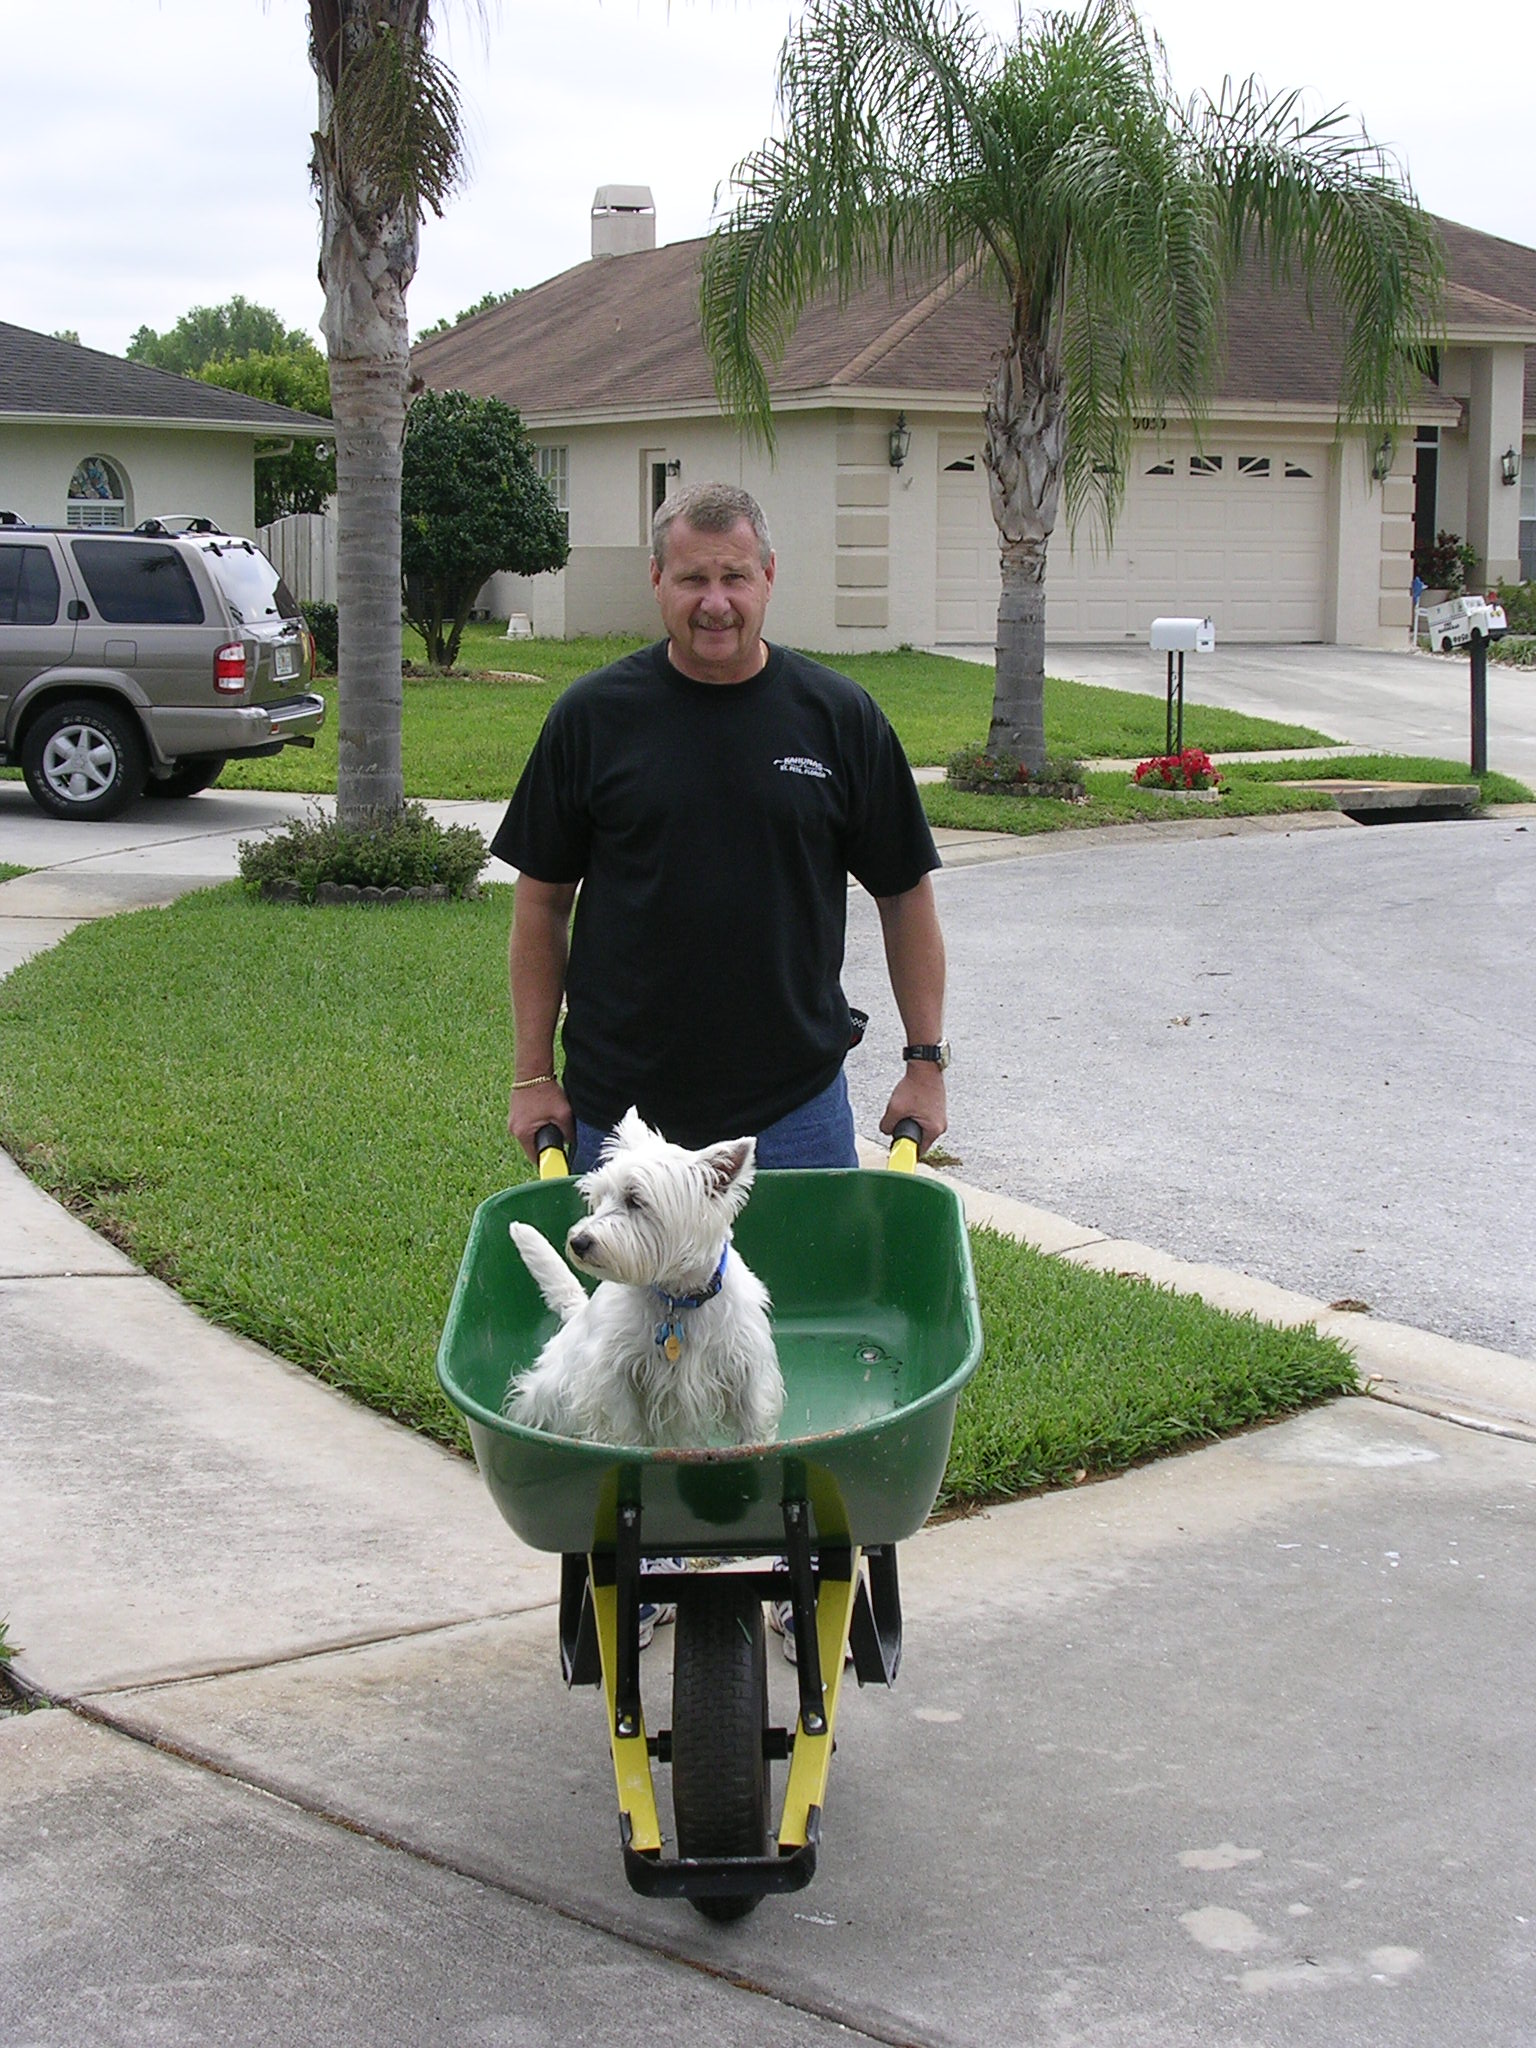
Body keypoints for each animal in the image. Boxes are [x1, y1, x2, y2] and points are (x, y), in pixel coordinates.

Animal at [507, 1114, 786, 1449]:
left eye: (635, 1200)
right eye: (599, 1198)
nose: (578, 1242)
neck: (678, 1299)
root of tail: (578, 1312)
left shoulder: (746, 1367)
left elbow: (754, 1421)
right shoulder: (613, 1372)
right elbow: (623, 1427)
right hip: (552, 1388)